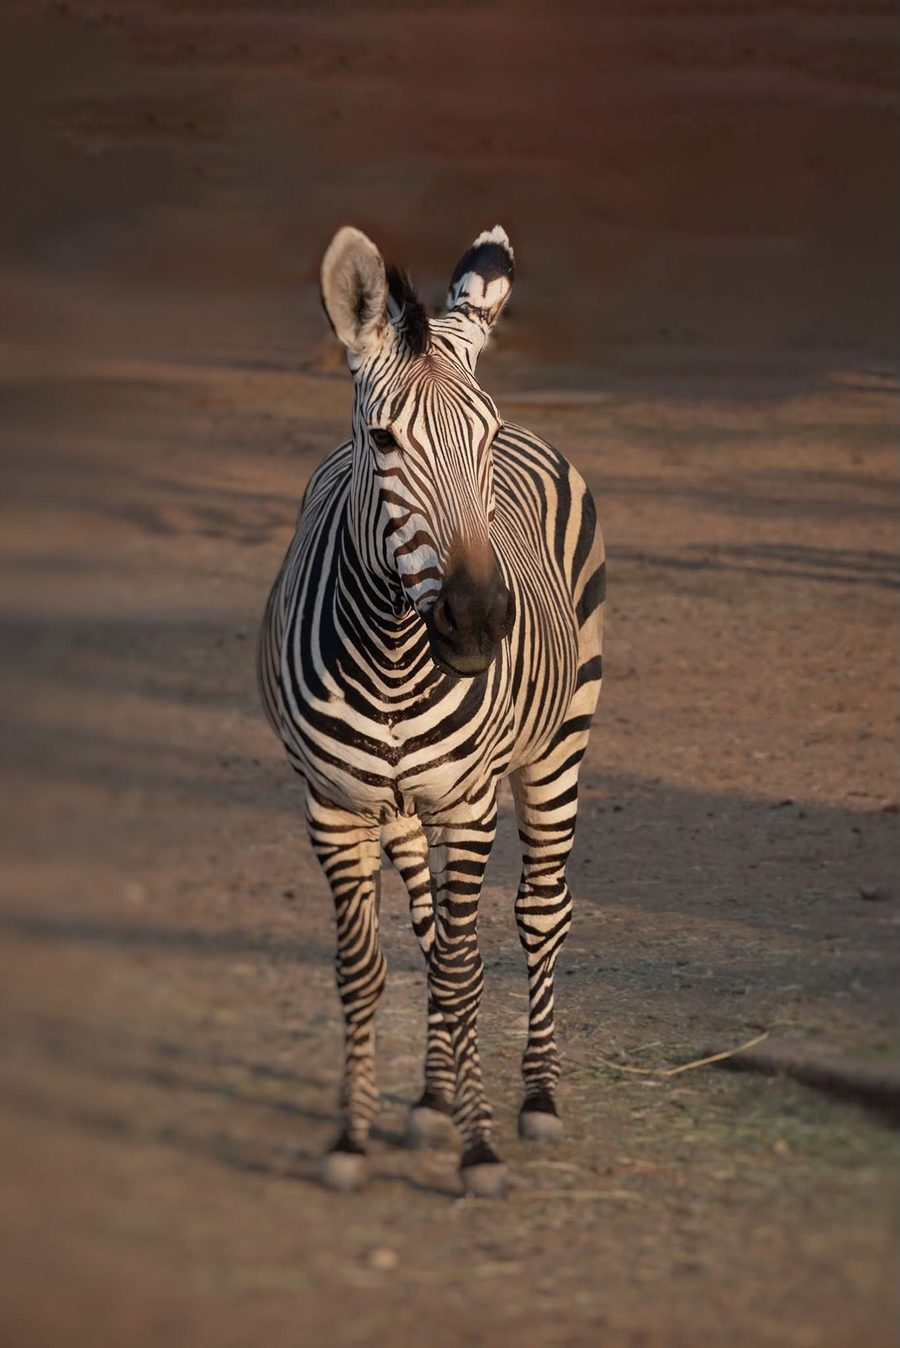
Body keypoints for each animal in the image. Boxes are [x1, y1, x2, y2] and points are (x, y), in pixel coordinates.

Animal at [259, 225, 604, 1197]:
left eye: (480, 438)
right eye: (382, 439)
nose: (479, 621)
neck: (389, 660)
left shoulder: (471, 802)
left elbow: (460, 971)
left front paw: (481, 1148)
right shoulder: (334, 809)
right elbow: (368, 969)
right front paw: (353, 1136)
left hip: (558, 748)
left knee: (540, 909)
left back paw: (537, 1097)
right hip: (404, 809)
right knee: (428, 929)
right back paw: (432, 1097)